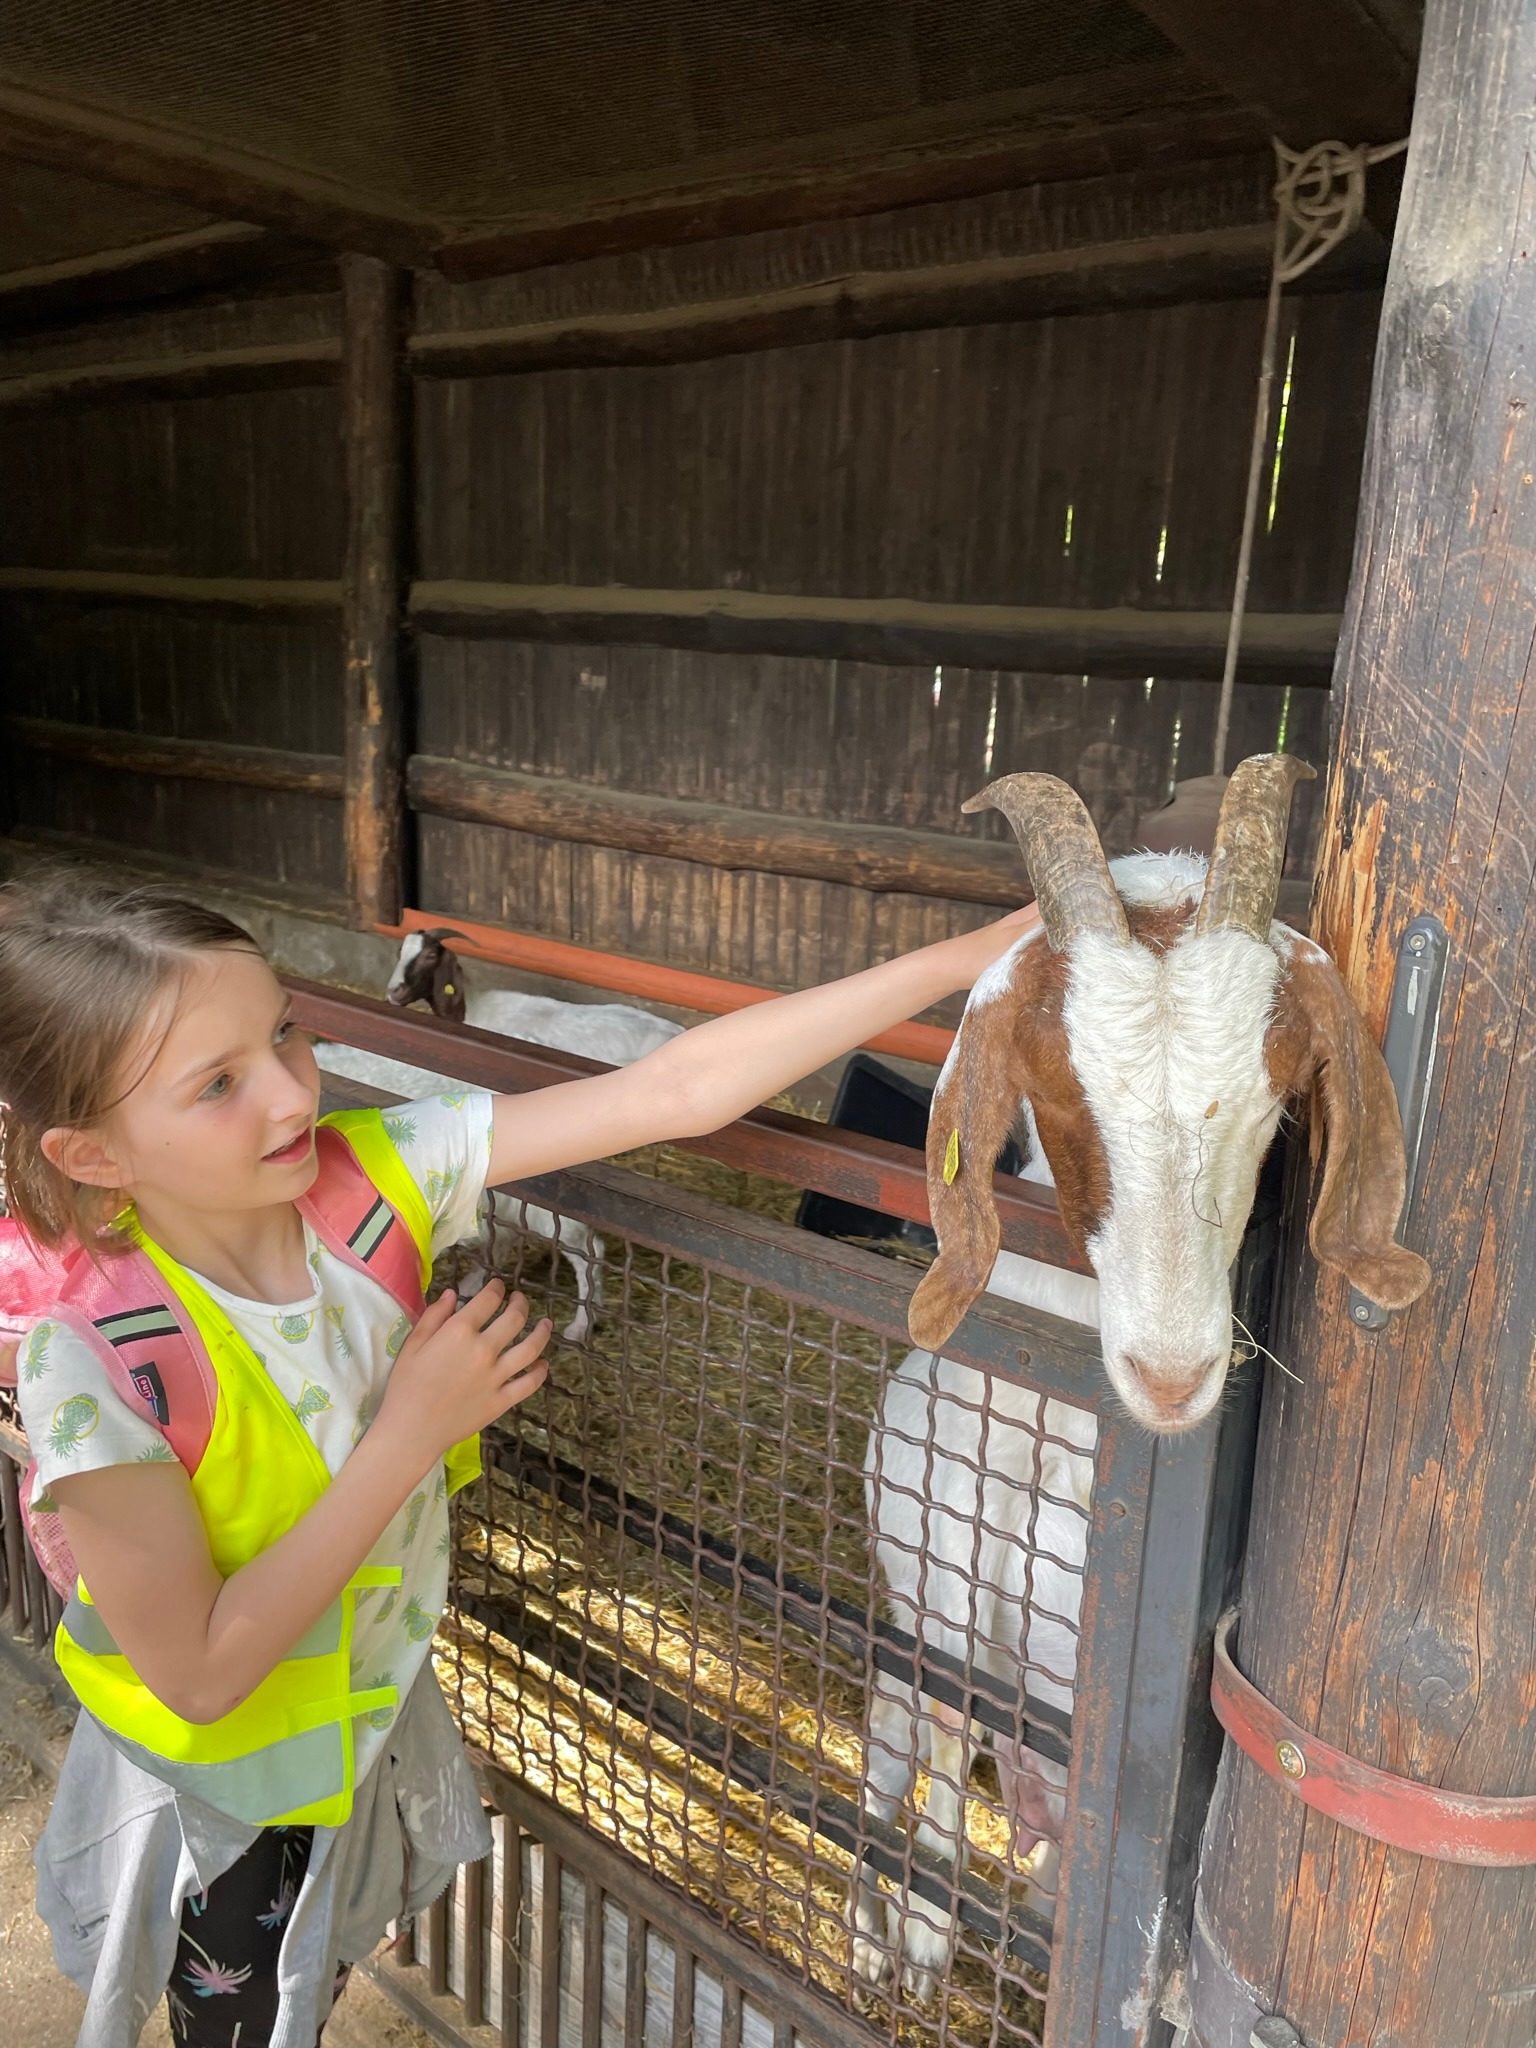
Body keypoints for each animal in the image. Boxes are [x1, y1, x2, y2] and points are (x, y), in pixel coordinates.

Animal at [856, 757, 1433, 1998]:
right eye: (1062, 1101)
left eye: (1276, 1104)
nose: (1172, 1376)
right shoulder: (944, 1538)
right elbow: (948, 1718)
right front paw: (923, 1934)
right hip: (887, 1687)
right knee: (882, 1781)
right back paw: (875, 1933)